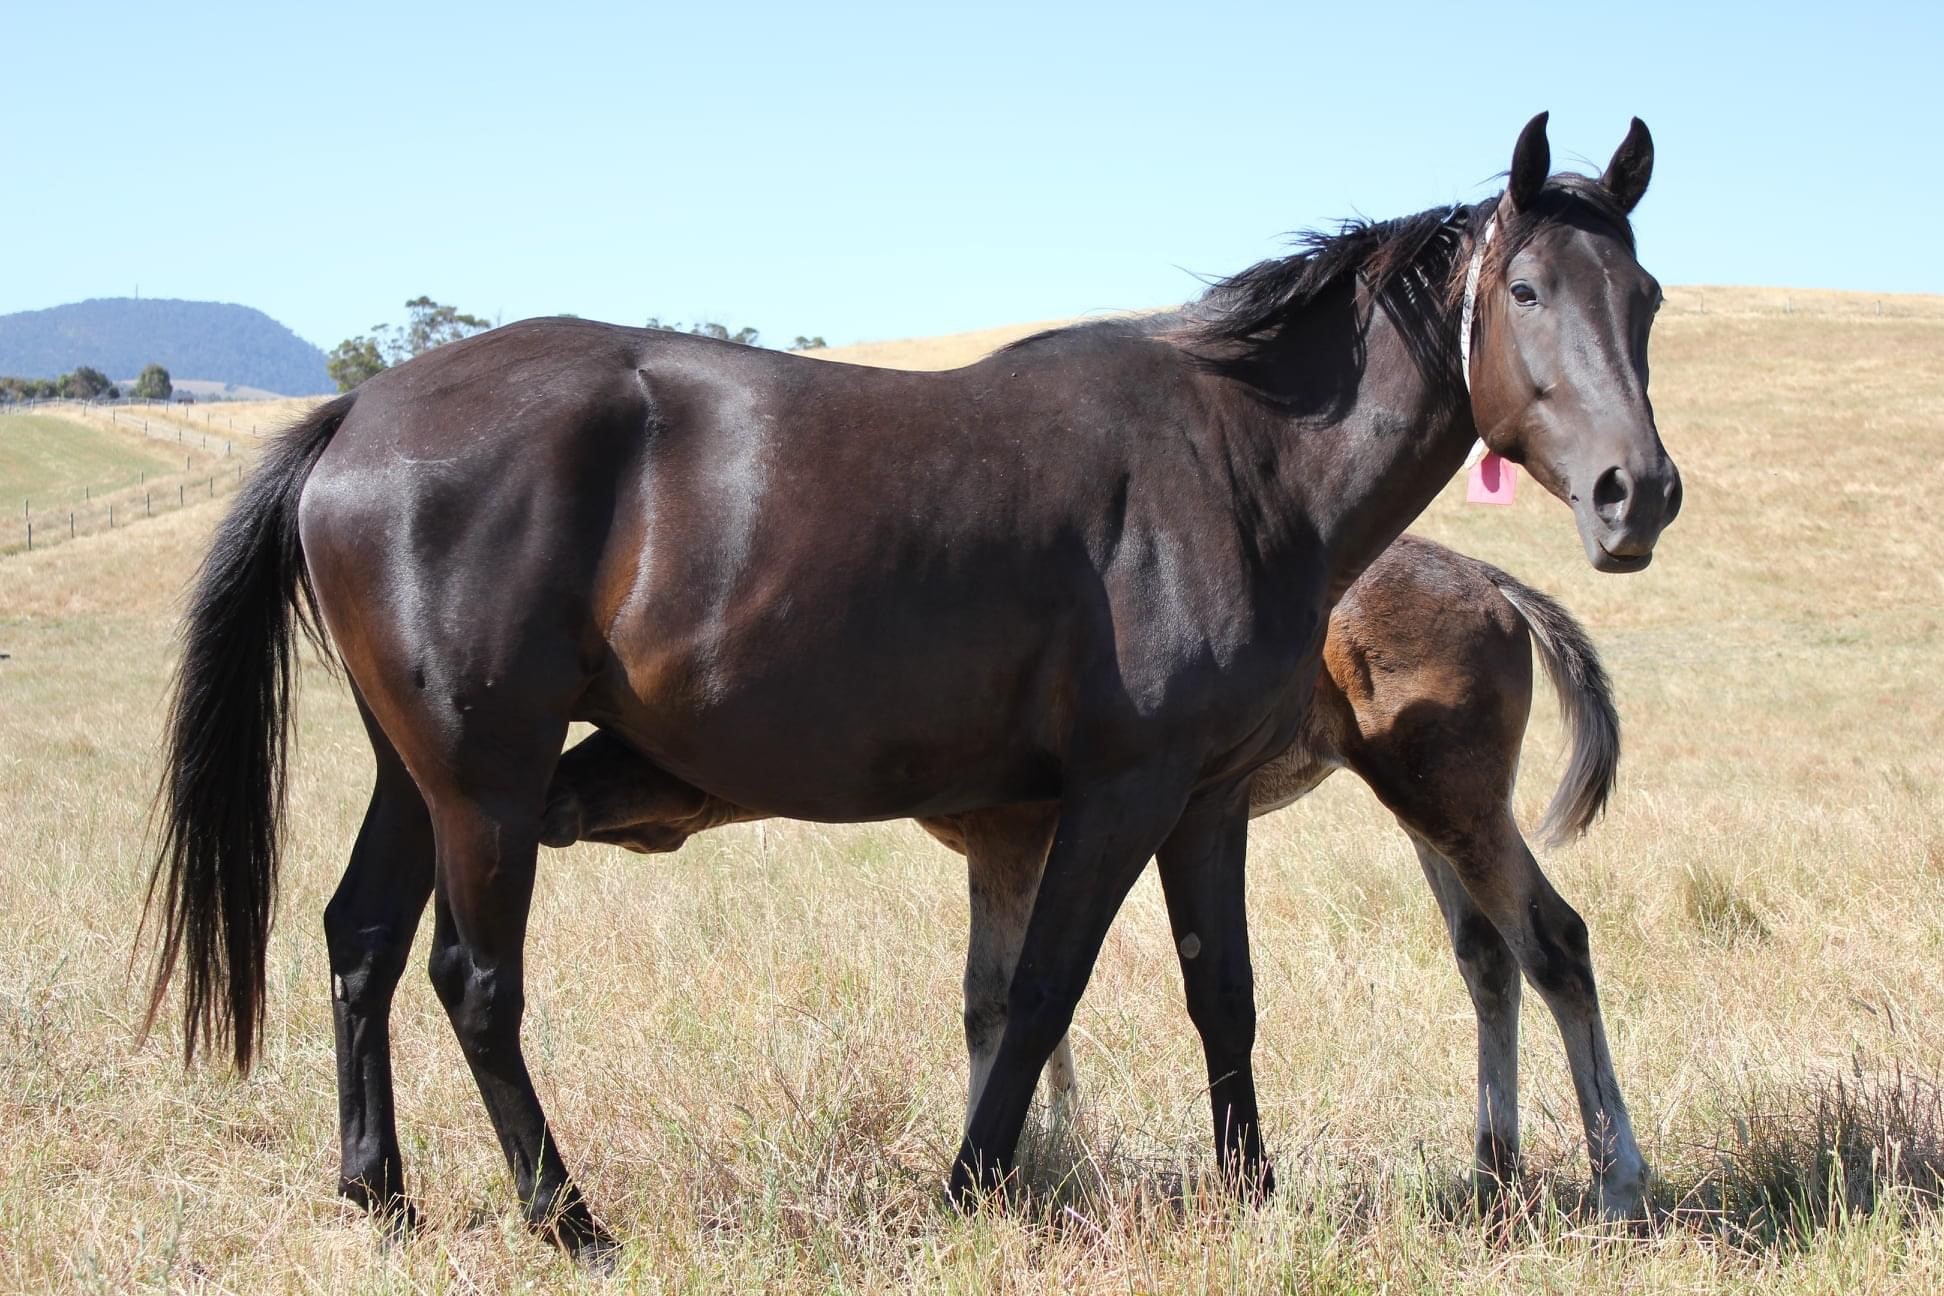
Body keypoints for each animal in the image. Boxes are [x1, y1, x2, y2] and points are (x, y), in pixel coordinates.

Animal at [544, 534, 1635, 1206]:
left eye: (637, 733)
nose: (556, 792)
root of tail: (1492, 580)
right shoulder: (1018, 850)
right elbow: (1010, 1002)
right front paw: (1044, 1153)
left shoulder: (1023, 838)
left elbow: (1011, 999)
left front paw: (1011, 1162)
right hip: (1429, 811)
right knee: (1487, 960)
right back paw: (1491, 1172)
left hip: (1448, 796)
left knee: (1554, 940)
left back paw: (1617, 1180)